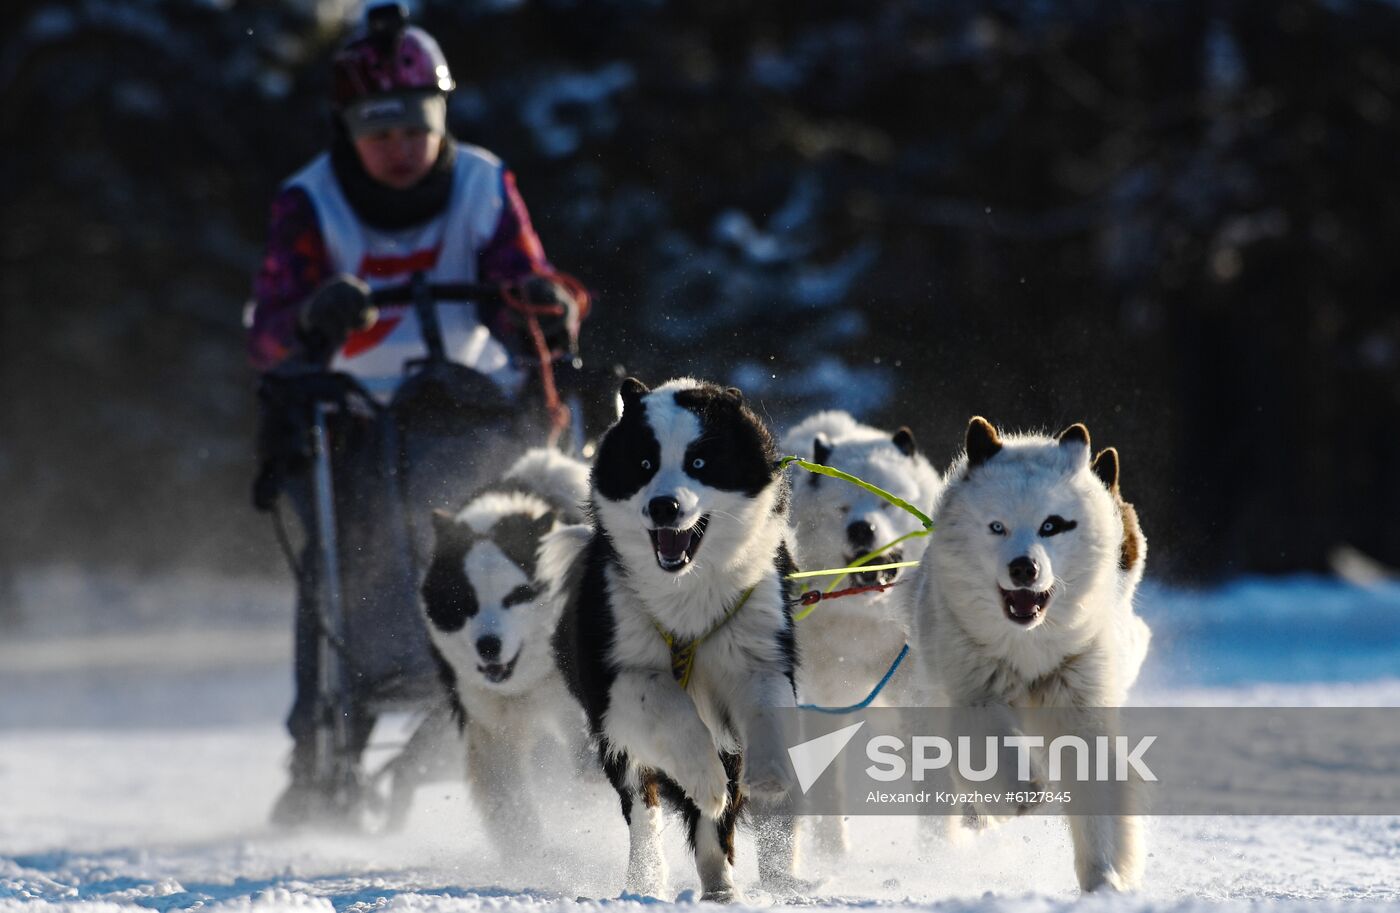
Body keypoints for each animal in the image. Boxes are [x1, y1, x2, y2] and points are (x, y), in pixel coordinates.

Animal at [414, 448, 590, 856]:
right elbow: (508, 800)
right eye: (464, 602)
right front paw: (532, 857)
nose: (488, 645)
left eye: (517, 596)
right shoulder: (489, 723)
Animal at [554, 375, 800, 896]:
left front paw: (769, 775)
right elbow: (668, 704)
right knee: (643, 808)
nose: (663, 506)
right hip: (619, 747)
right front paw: (704, 777)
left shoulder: (758, 648)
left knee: (713, 825)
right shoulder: (614, 679)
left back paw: (721, 886)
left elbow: (766, 703)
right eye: (644, 464)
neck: (686, 590)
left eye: (699, 462)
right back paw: (646, 880)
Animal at [907, 420, 1148, 890]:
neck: (1030, 646)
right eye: (997, 526)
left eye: (1051, 525)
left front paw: (1104, 879)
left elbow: (1095, 792)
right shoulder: (976, 697)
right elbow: (994, 756)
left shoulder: (1078, 704)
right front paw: (1023, 793)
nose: (1024, 567)